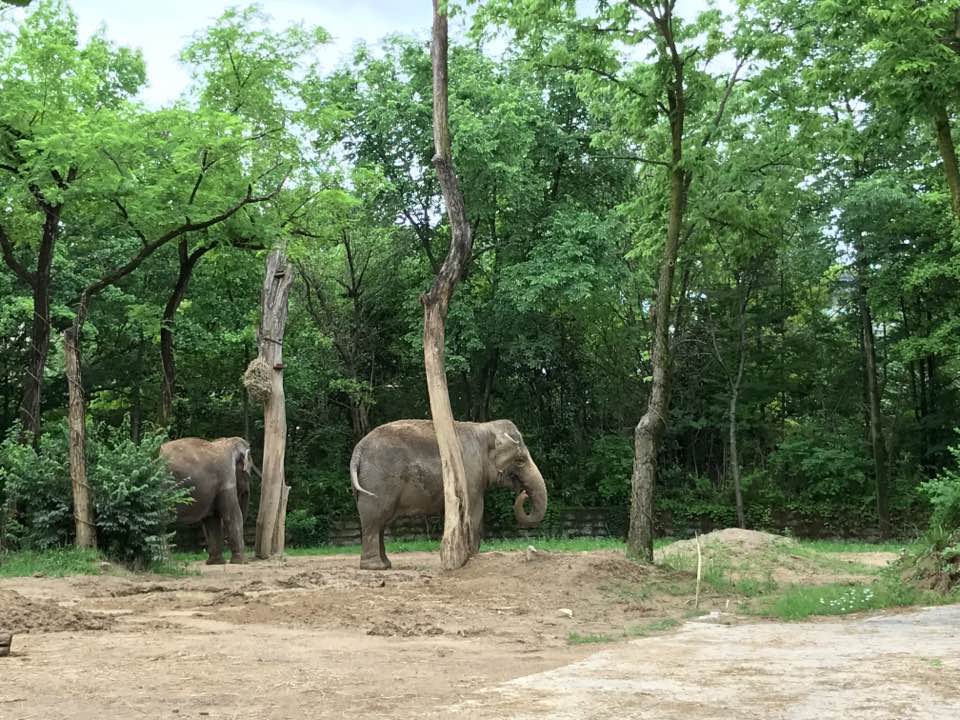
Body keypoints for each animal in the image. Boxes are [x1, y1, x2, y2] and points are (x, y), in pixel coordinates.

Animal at [160, 436, 257, 565]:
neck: (228, 441)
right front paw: (241, 562)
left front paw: (216, 563)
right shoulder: (226, 479)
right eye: (248, 474)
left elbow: (212, 519)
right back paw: (167, 563)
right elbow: (232, 516)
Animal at [350, 419, 548, 570]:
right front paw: (472, 556)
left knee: (379, 523)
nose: (523, 493)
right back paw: (376, 567)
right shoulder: (470, 472)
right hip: (378, 482)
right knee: (375, 519)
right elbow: (475, 510)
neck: (484, 428)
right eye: (520, 460)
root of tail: (357, 450)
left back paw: (385, 564)